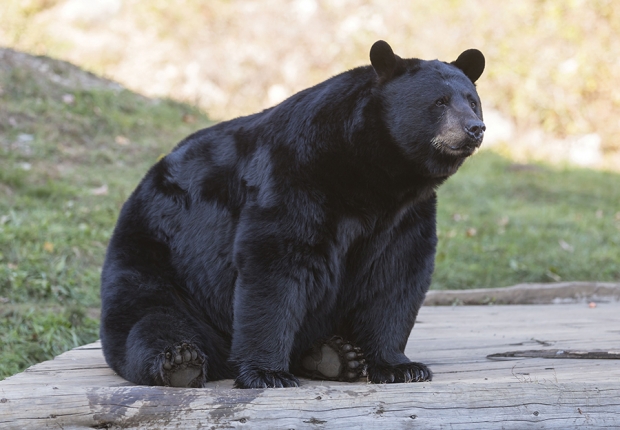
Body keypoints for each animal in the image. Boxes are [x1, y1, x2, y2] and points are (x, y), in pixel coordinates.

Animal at [100, 41, 484, 390]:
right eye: (439, 102)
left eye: (472, 100)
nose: (475, 128)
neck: (373, 174)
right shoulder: (295, 175)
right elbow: (275, 264)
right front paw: (267, 373)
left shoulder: (405, 215)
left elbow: (396, 275)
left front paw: (401, 366)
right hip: (160, 261)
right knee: (150, 320)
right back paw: (181, 362)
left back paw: (334, 355)